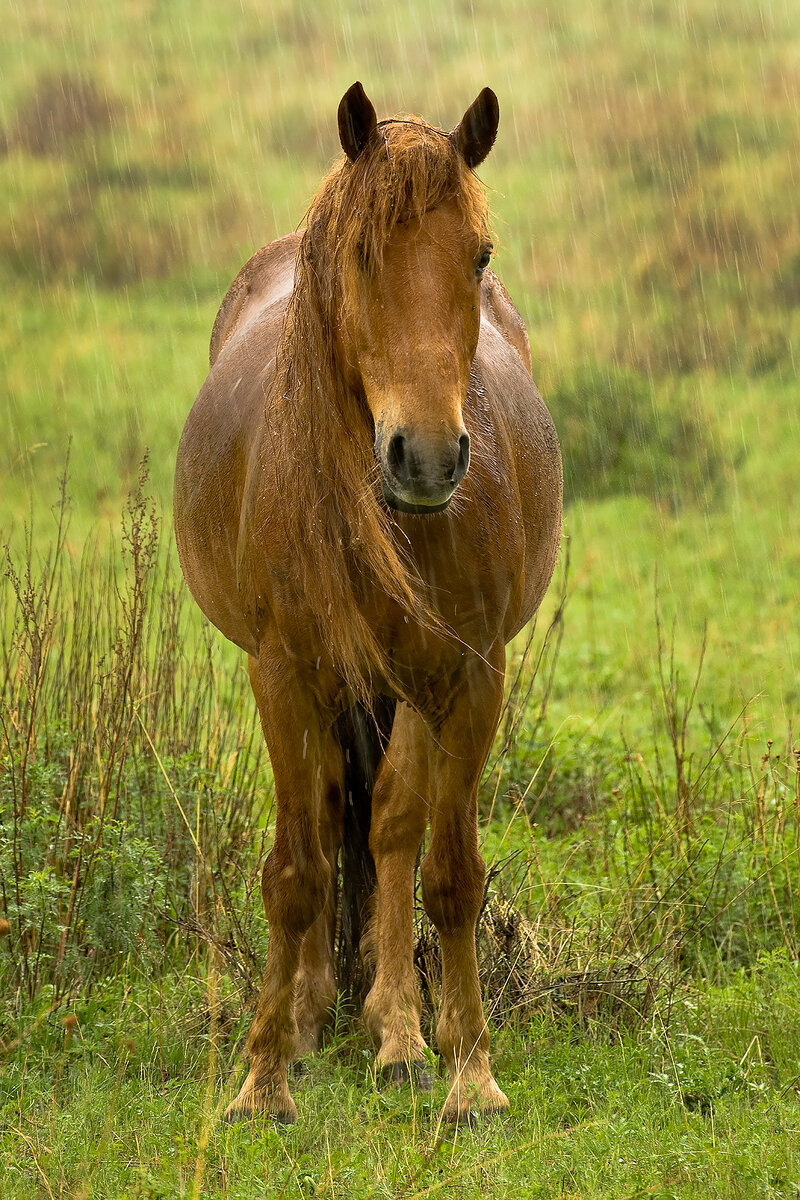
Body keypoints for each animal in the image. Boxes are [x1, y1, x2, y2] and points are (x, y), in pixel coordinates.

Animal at [175, 84, 563, 1123]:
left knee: (388, 820)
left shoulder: (467, 676)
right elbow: (297, 872)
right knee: (329, 815)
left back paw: (395, 1034)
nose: (425, 456)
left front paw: (468, 1074)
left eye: (479, 255)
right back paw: (315, 1013)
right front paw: (264, 1076)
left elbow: (448, 872)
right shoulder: (283, 675)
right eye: (358, 253)